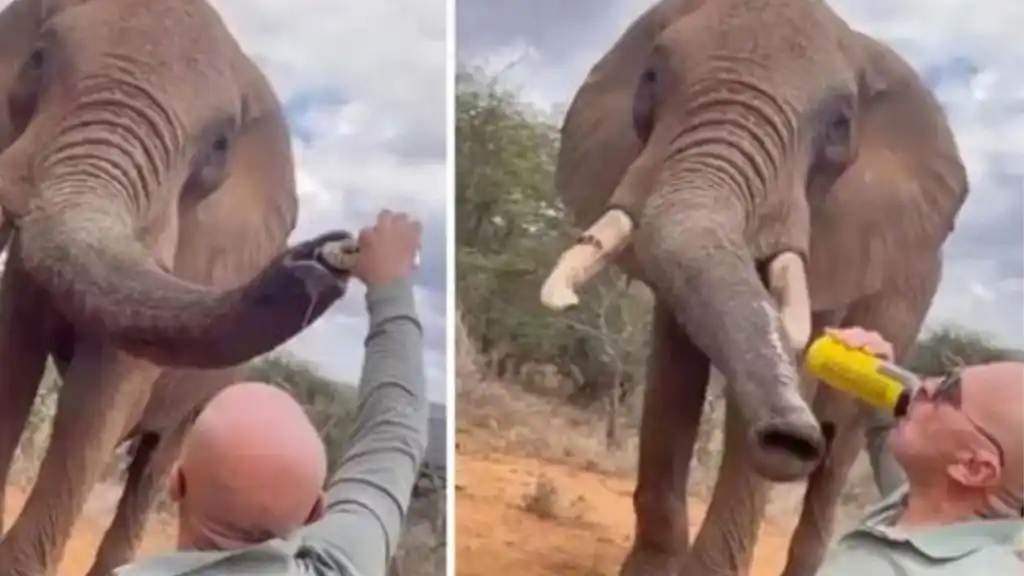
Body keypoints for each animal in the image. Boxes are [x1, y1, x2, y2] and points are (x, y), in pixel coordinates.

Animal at [0, 0, 361, 574]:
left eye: (218, 147)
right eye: (36, 61)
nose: (331, 253)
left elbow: (101, 393)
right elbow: (15, 352)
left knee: (155, 463)